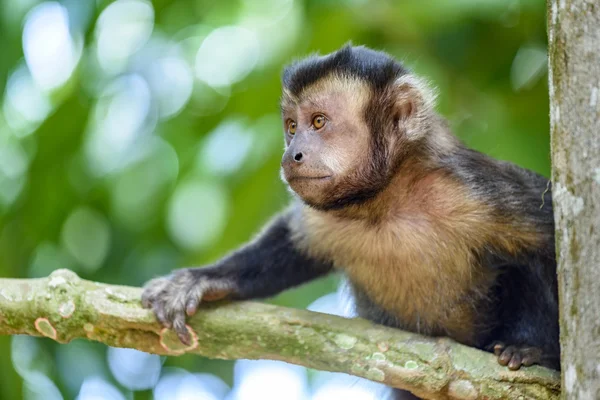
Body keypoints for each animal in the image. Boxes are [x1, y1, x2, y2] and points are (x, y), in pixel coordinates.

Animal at [139, 44, 556, 400]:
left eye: (319, 122)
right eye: (292, 126)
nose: (291, 154)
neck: (385, 201)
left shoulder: (472, 189)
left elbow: (548, 238)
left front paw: (534, 347)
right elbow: (292, 244)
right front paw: (206, 279)